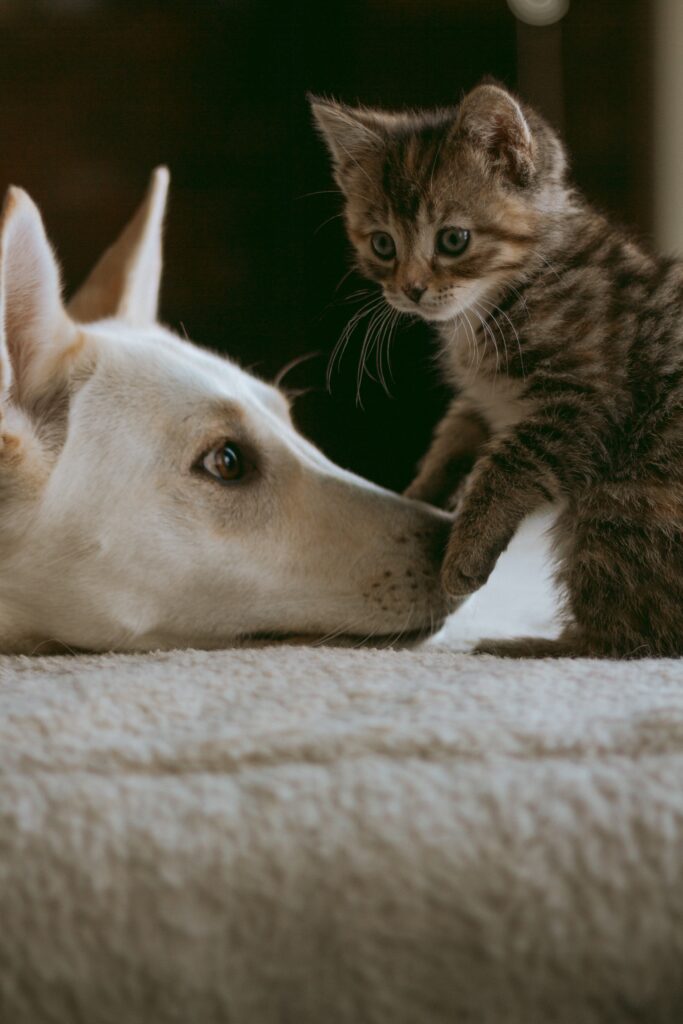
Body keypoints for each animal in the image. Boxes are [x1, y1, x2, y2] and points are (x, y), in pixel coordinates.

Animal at [313, 81, 683, 655]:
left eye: (453, 240)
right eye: (383, 244)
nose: (411, 289)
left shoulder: (588, 399)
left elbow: (509, 465)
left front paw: (463, 555)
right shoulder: (485, 401)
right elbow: (455, 439)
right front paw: (417, 496)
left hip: (627, 497)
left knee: (630, 636)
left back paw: (529, 645)